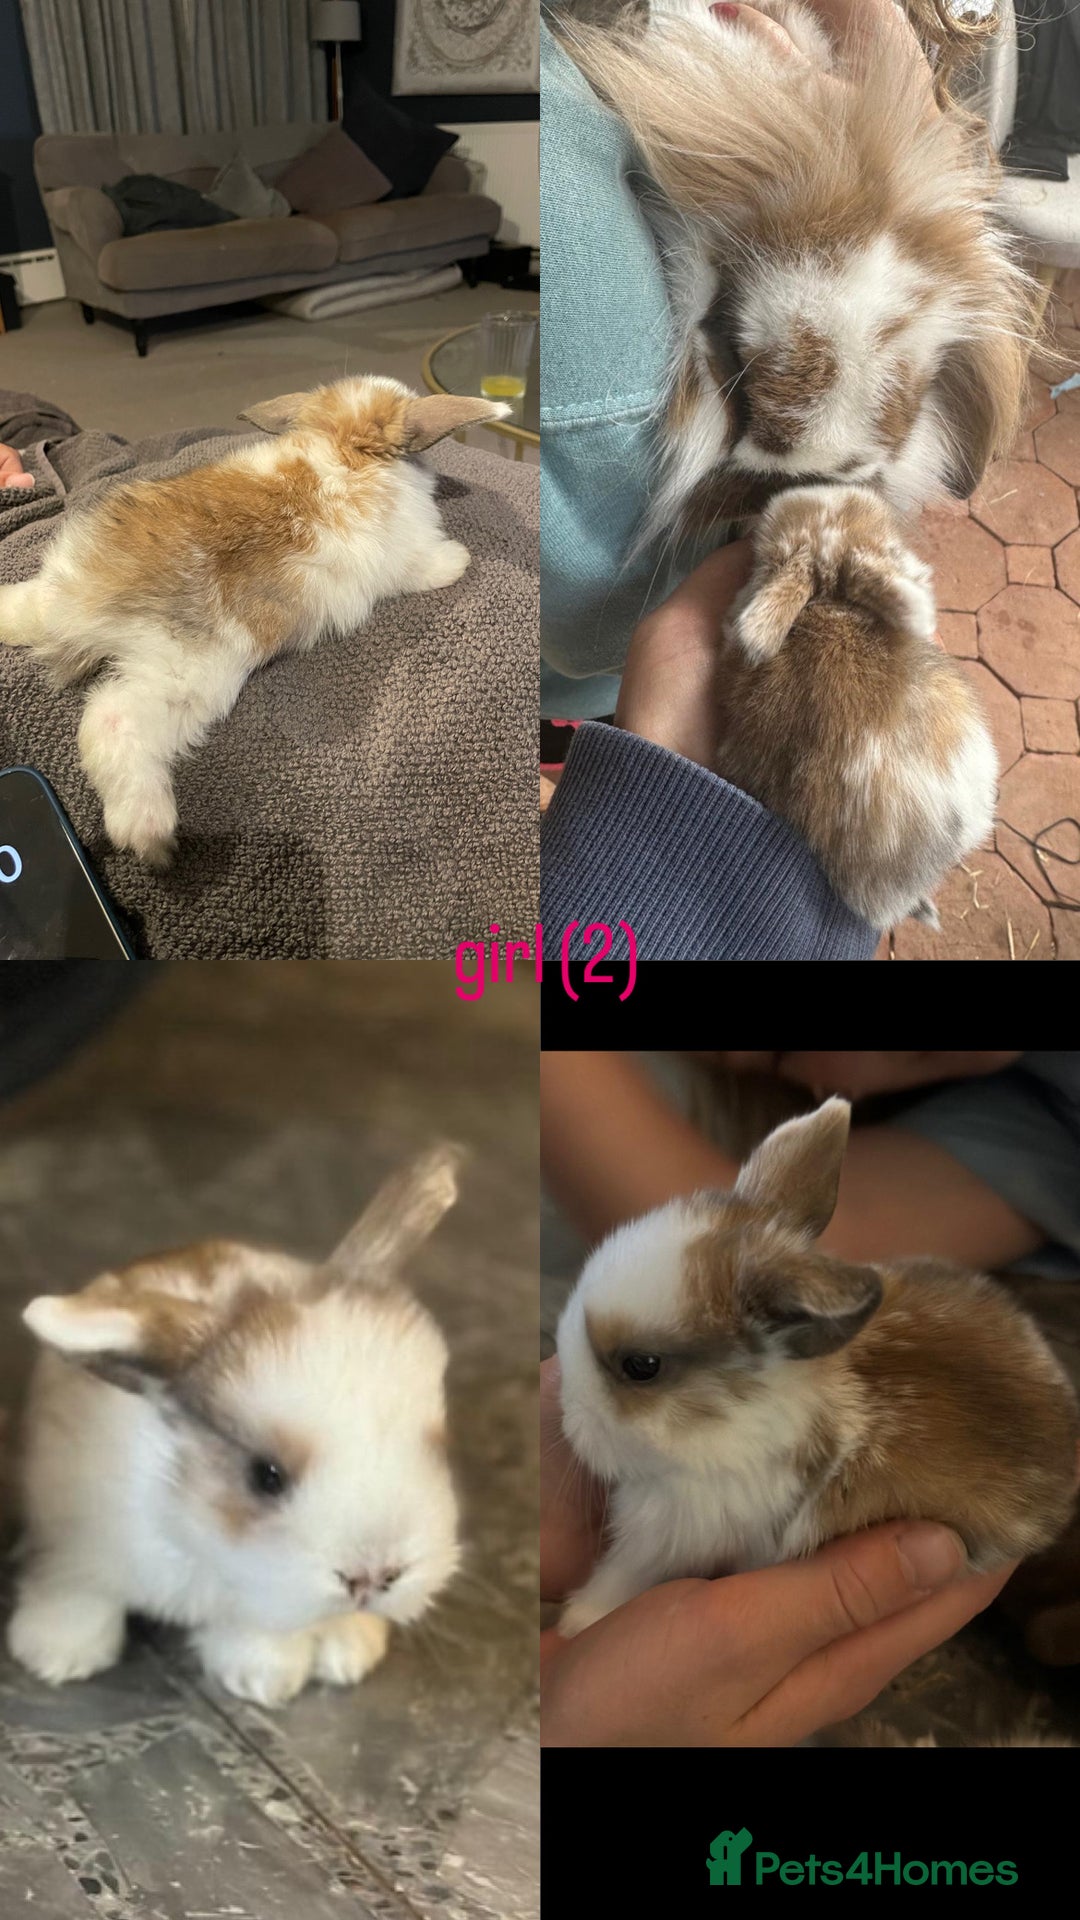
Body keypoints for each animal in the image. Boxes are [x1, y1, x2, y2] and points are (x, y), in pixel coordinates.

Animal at [0, 377, 509, 867]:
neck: (341, 442)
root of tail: (90, 604)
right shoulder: (404, 557)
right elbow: (426, 567)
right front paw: (459, 561)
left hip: (73, 600)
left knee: (31, 611)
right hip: (183, 676)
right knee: (108, 720)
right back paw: (153, 838)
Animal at [7, 1145, 464, 1707]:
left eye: (438, 1447)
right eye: (266, 1476)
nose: (373, 1577)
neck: (191, 1533)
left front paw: (263, 1678)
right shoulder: (72, 1538)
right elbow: (76, 1590)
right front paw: (56, 1657)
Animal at [556, 1098, 1078, 1639]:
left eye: (642, 1366)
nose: (567, 1416)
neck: (735, 1422)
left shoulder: (671, 1532)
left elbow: (624, 1574)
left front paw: (578, 1620)